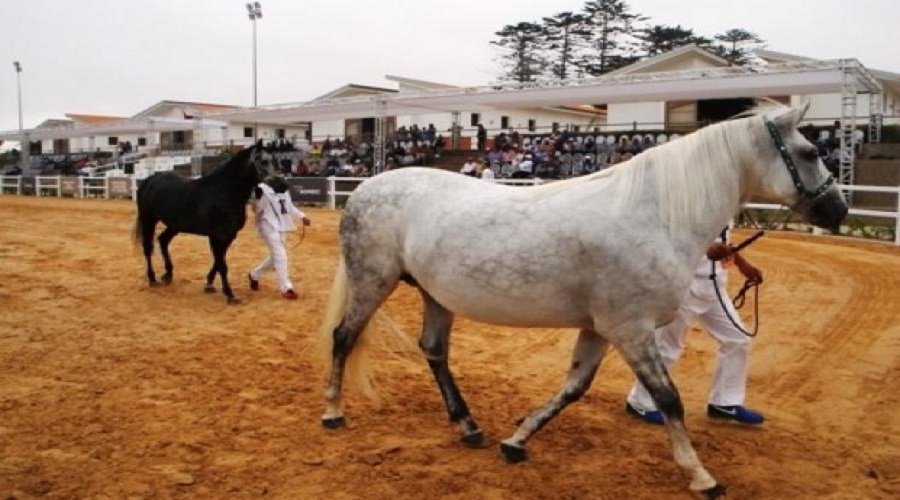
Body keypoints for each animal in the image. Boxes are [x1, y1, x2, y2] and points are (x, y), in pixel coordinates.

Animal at [132, 143, 268, 302]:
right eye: (263, 161)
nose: (281, 183)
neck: (224, 192)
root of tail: (150, 180)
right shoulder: (217, 236)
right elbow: (222, 264)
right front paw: (230, 295)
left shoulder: (229, 236)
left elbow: (218, 261)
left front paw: (209, 284)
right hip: (149, 220)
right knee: (148, 248)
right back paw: (152, 279)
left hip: (175, 225)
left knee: (163, 240)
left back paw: (168, 275)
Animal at [320, 103, 848, 498]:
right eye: (809, 151)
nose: (838, 210)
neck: (654, 213)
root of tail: (367, 187)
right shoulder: (630, 329)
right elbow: (668, 398)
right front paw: (701, 476)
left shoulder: (599, 328)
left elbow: (574, 388)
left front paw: (517, 440)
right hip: (372, 281)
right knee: (343, 337)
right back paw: (332, 412)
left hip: (435, 294)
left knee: (433, 351)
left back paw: (469, 427)